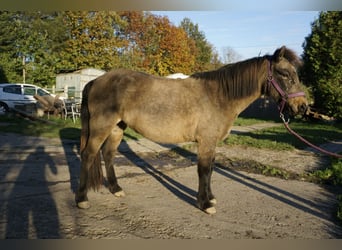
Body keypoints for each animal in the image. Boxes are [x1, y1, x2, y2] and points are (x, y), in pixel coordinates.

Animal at [75, 46, 308, 214]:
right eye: (284, 74)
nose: (303, 107)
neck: (219, 95)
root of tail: (95, 81)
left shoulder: (211, 143)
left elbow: (211, 169)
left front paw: (210, 198)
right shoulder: (206, 141)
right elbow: (203, 170)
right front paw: (205, 204)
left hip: (117, 127)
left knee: (108, 154)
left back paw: (116, 189)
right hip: (101, 126)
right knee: (88, 155)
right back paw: (81, 199)